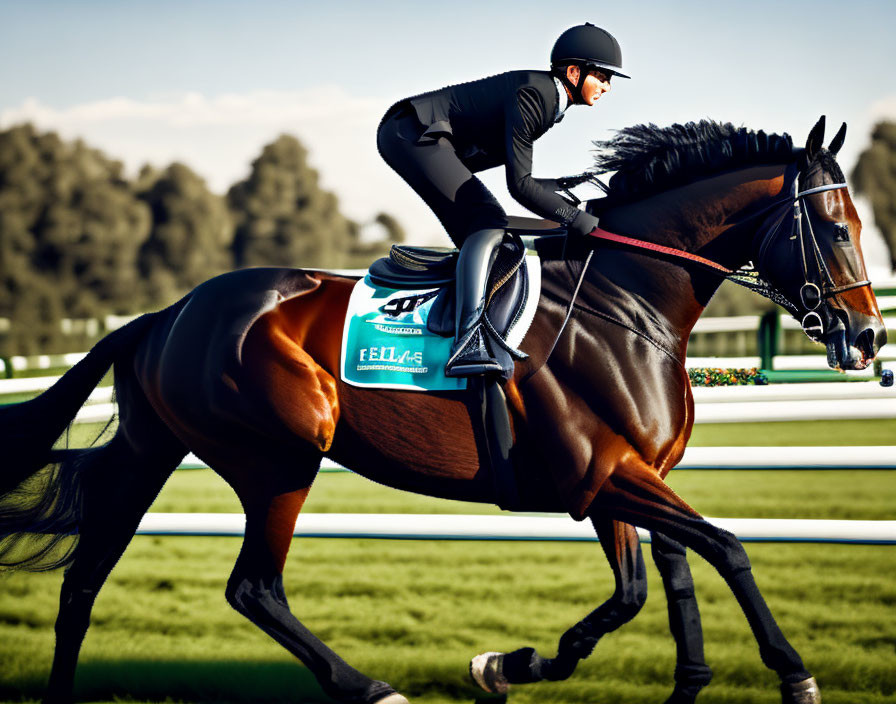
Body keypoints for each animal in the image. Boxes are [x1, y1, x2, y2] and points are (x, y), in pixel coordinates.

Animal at [0, 117, 880, 704]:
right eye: (836, 227)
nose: (866, 335)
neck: (624, 304)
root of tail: (167, 313)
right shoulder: (602, 473)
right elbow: (720, 550)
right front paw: (794, 674)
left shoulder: (627, 478)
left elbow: (657, 580)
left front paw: (553, 669)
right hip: (279, 455)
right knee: (253, 588)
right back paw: (371, 688)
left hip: (153, 451)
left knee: (84, 581)